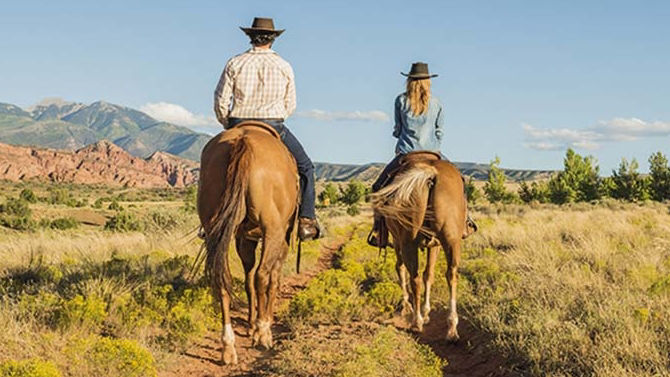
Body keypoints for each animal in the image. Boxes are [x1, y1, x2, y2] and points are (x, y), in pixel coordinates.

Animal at [197, 121, 296, 364]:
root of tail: (243, 141)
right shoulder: (281, 239)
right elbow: (271, 280)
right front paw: (262, 324)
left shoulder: (244, 239)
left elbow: (248, 280)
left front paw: (251, 325)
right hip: (273, 230)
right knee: (262, 276)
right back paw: (263, 335)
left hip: (216, 230)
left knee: (223, 279)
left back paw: (228, 347)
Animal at [372, 151, 468, 340]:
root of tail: (430, 174)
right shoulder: (435, 245)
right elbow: (429, 275)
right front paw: (426, 311)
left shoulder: (398, 241)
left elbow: (400, 268)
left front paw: (408, 307)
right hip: (451, 240)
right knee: (451, 274)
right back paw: (452, 328)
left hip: (407, 242)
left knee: (413, 277)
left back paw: (417, 321)